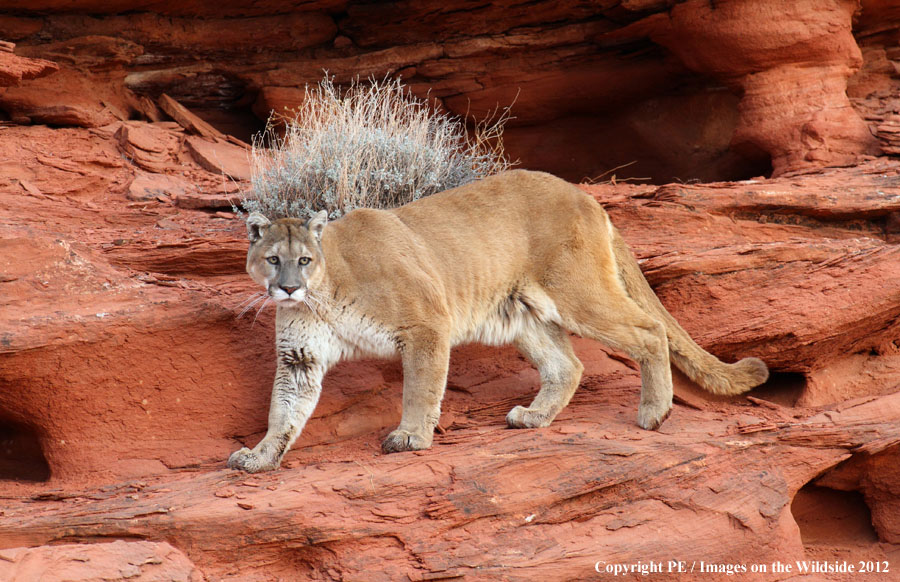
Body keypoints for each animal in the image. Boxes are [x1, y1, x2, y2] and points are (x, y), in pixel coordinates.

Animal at [225, 169, 768, 474]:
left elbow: (420, 389)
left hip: (576, 293)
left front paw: (411, 438)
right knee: (568, 366)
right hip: (524, 314)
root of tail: (587, 196)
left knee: (648, 331)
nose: (288, 289)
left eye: (303, 260)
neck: (324, 292)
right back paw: (533, 417)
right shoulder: (300, 358)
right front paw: (260, 457)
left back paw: (654, 413)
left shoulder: (426, 324)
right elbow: (283, 413)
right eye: (273, 260)